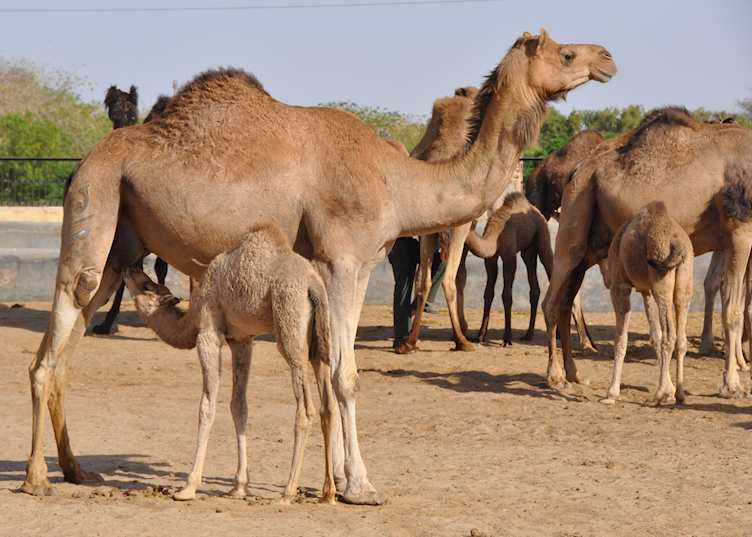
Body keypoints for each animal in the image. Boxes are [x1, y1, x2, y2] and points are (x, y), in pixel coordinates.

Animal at [123, 224, 337, 504]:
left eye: (146, 284)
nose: (130, 266)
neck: (190, 320)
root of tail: (313, 285)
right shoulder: (241, 340)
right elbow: (239, 406)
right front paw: (239, 486)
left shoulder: (208, 334)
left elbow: (206, 405)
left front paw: (188, 487)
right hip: (317, 339)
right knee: (328, 405)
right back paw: (328, 492)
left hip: (289, 322)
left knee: (305, 408)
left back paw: (288, 492)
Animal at [464, 192, 552, 345]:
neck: (495, 234)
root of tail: (535, 209)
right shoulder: (490, 259)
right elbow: (488, 293)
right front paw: (480, 335)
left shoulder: (509, 255)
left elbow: (506, 295)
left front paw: (507, 338)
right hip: (528, 250)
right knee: (534, 285)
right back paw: (528, 334)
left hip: (543, 235)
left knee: (548, 262)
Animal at [600, 201, 693, 405]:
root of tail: (677, 243)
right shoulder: (646, 290)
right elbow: (655, 334)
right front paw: (669, 390)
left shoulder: (620, 286)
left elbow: (621, 339)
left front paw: (611, 393)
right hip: (683, 284)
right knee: (681, 338)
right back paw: (680, 394)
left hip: (661, 280)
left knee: (670, 335)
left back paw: (658, 394)